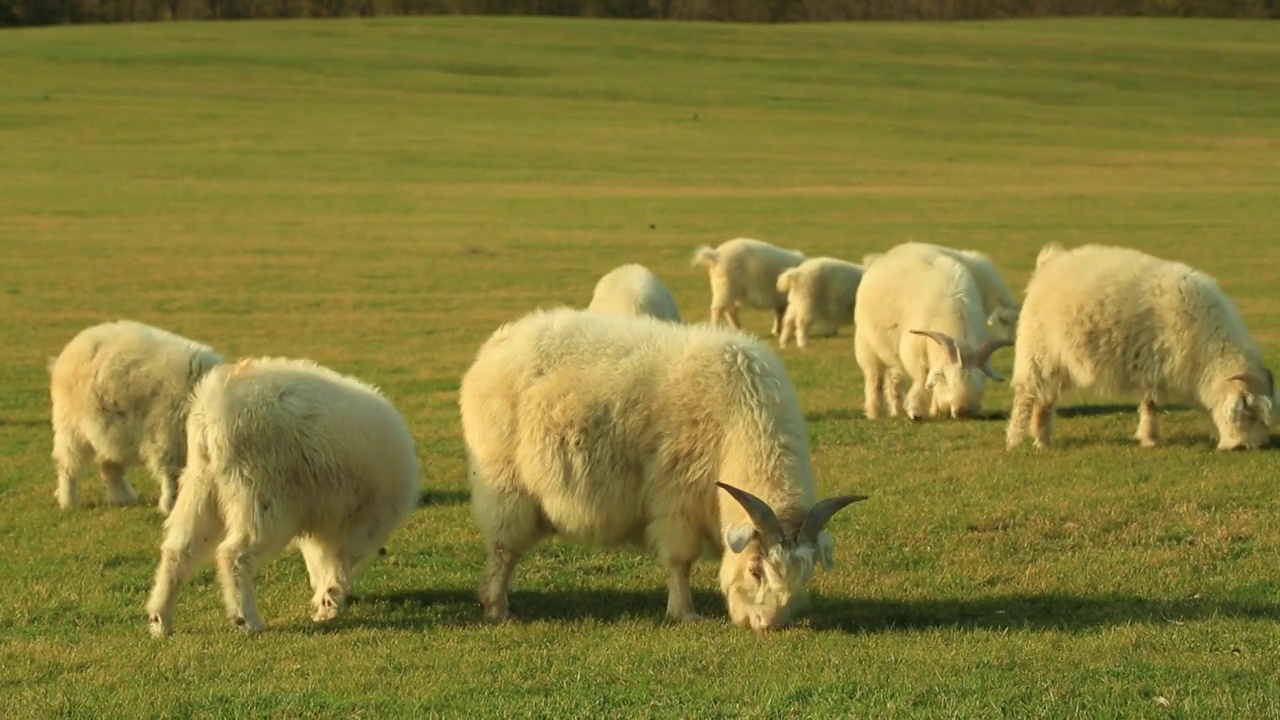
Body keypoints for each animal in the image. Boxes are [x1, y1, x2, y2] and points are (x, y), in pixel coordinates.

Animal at [47, 317, 221, 509]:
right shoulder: (169, 436)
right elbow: (172, 474)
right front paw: (171, 504)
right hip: (71, 426)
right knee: (67, 465)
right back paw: (68, 500)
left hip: (109, 429)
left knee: (109, 465)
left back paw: (122, 498)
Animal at [145, 353, 417, 632]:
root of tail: (213, 407)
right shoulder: (361, 523)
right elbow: (340, 562)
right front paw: (329, 602)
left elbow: (319, 560)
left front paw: (324, 598)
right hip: (261, 497)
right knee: (234, 555)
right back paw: (247, 619)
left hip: (201, 486)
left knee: (178, 551)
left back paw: (160, 619)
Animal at [455, 304, 865, 630]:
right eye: (754, 570)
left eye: (805, 576)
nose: (765, 625)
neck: (745, 423)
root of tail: (497, 345)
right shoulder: (676, 499)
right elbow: (680, 561)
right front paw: (684, 613)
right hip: (506, 484)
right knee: (504, 549)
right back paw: (497, 607)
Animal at [855, 242, 1013, 417]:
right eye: (944, 377)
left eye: (981, 381)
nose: (964, 411)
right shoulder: (915, 354)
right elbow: (922, 380)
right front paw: (915, 411)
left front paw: (935, 409)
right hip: (866, 346)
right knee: (874, 379)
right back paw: (874, 413)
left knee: (894, 377)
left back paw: (898, 410)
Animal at [1008, 243, 1269, 450]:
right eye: (1248, 413)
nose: (1246, 447)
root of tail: (1051, 262)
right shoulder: (1155, 364)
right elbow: (1151, 404)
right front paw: (1150, 438)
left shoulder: (1152, 367)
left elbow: (1150, 403)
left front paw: (1150, 438)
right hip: (1036, 351)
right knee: (1025, 396)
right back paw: (1014, 441)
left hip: (1056, 361)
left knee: (1045, 400)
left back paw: (1042, 440)